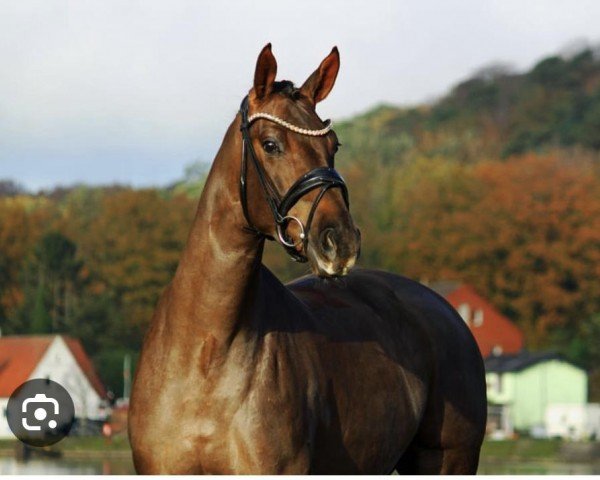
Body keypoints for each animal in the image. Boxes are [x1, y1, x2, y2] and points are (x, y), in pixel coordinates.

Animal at [130, 46, 488, 476]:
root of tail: (447, 311)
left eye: (333, 145)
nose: (340, 241)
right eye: (270, 144)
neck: (207, 349)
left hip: (448, 460)